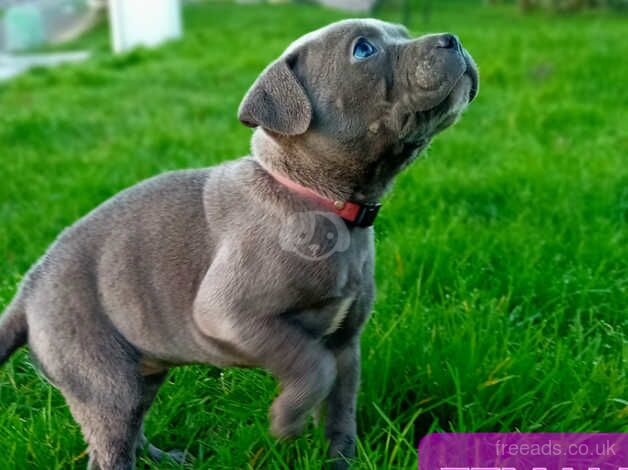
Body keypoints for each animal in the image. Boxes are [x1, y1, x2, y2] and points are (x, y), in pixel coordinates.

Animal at [0, 19, 476, 470]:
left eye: (403, 34)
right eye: (364, 49)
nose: (452, 39)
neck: (318, 199)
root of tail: (25, 292)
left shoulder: (346, 343)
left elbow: (341, 413)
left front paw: (341, 461)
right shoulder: (231, 315)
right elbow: (311, 365)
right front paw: (286, 420)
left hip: (138, 372)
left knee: (133, 427)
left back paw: (165, 458)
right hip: (103, 377)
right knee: (110, 445)